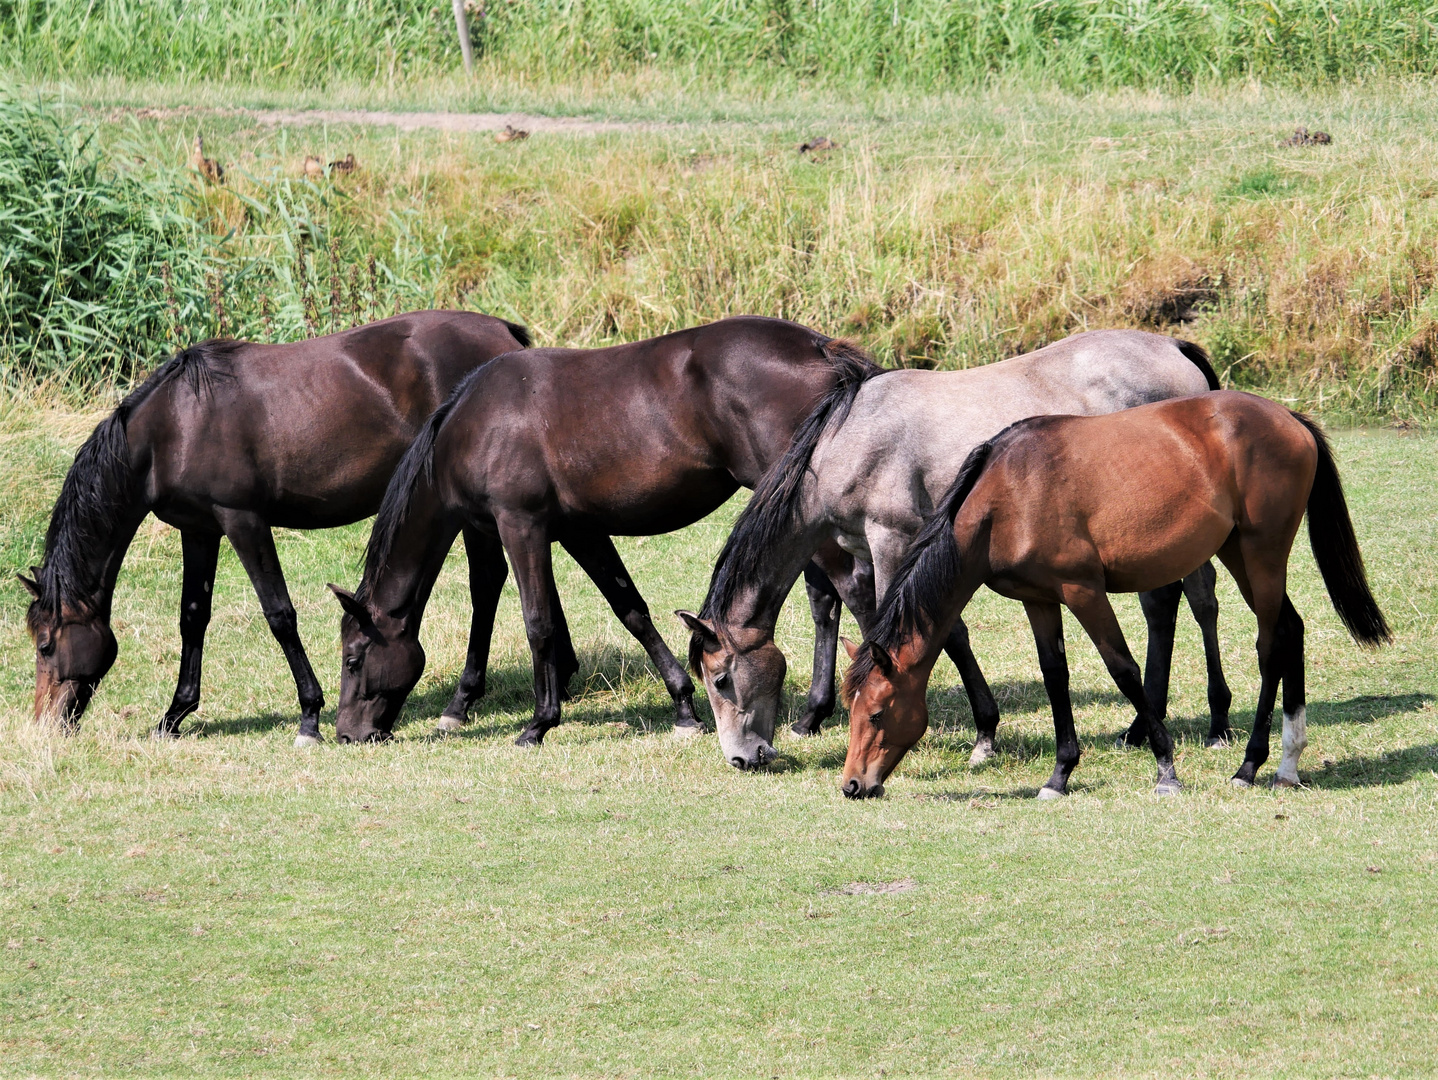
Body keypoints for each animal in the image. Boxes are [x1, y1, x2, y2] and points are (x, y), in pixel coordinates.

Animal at [15, 312, 534, 747]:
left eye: (45, 645)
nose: (45, 726)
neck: (174, 426)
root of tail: (503, 333)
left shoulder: (242, 520)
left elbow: (280, 614)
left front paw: (310, 717)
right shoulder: (199, 530)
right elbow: (192, 617)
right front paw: (174, 715)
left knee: (485, 584)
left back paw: (459, 705)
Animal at [330, 316, 880, 747]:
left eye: (354, 660)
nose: (347, 733)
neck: (474, 425)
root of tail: (819, 348)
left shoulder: (520, 526)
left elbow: (537, 621)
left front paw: (539, 723)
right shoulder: (580, 531)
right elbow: (630, 610)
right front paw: (684, 707)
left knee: (854, 589)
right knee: (825, 600)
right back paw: (811, 716)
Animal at [678, 327, 1230, 770]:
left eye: (720, 679)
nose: (742, 758)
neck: (848, 440)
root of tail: (1172, 346)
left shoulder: (893, 540)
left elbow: (926, 631)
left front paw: (980, 735)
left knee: (1189, 602)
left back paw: (1213, 725)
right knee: (1174, 602)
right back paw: (1152, 724)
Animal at [839, 394, 1391, 799]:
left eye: (877, 713)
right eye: (851, 712)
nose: (853, 785)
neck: (1008, 496)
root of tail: (1289, 418)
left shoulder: (1084, 592)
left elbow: (1124, 670)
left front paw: (1166, 769)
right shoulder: (1039, 600)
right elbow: (1055, 677)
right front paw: (1060, 775)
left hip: (1263, 555)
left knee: (1271, 645)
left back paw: (1250, 766)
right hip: (1240, 555)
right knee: (1291, 631)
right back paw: (1287, 764)